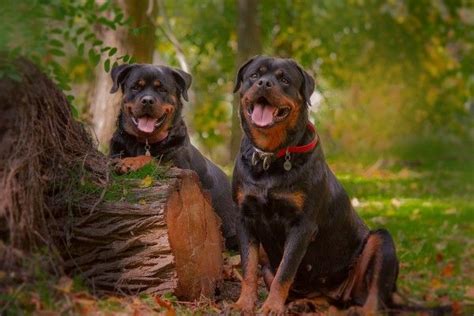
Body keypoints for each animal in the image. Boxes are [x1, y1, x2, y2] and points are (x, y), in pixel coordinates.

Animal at [109, 63, 239, 249]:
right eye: (136, 87)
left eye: (162, 89)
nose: (147, 100)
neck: (145, 142)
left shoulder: (180, 167)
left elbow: (152, 158)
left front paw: (130, 162)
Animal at [231, 56, 398, 314]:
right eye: (254, 75)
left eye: (284, 79)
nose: (264, 83)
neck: (271, 157)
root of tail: (340, 293)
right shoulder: (244, 217)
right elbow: (249, 266)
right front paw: (244, 303)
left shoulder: (302, 225)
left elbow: (285, 271)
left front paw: (271, 307)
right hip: (271, 263)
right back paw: (303, 303)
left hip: (380, 241)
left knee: (375, 293)